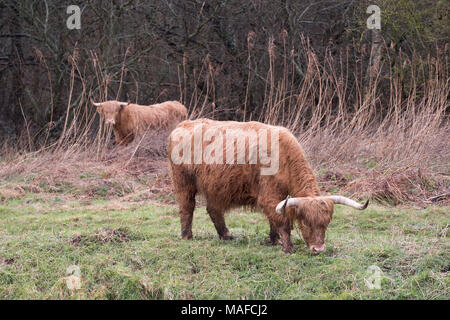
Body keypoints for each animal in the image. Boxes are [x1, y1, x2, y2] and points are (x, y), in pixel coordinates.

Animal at [169, 119, 370, 254]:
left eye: (326, 223)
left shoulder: (279, 197)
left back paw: (226, 236)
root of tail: (182, 125)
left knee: (214, 209)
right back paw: (187, 236)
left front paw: (275, 241)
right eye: (305, 222)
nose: (318, 249)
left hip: (216, 186)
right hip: (183, 182)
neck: (284, 155)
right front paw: (288, 247)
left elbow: (276, 218)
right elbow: (282, 221)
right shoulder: (269, 194)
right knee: (187, 207)